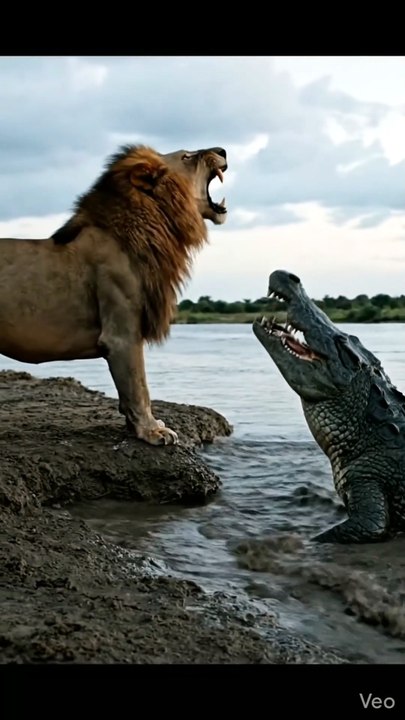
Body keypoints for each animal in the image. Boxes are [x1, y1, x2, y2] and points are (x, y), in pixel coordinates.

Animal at [0, 144, 228, 445]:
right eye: (187, 156)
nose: (223, 150)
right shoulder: (122, 334)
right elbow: (138, 386)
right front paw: (152, 431)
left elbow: (128, 391)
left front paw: (136, 426)